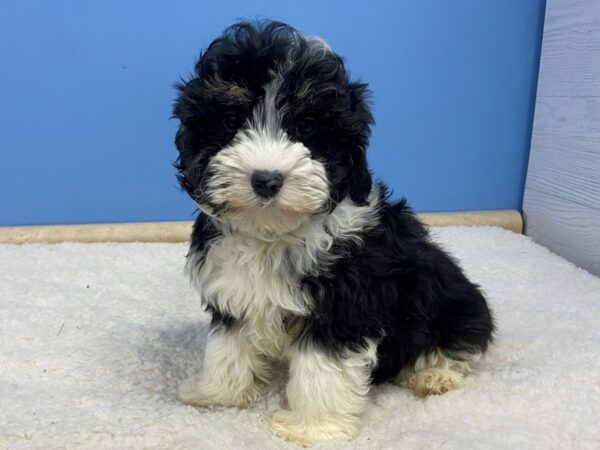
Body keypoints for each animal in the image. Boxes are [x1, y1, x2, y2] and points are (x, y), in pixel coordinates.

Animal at [172, 21, 492, 446]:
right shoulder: (232, 288)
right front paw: (217, 393)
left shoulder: (345, 300)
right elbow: (226, 346)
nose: (266, 179)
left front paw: (313, 429)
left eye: (306, 127)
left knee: (460, 343)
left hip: (453, 302)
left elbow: (322, 367)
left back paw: (433, 375)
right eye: (231, 122)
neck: (273, 233)